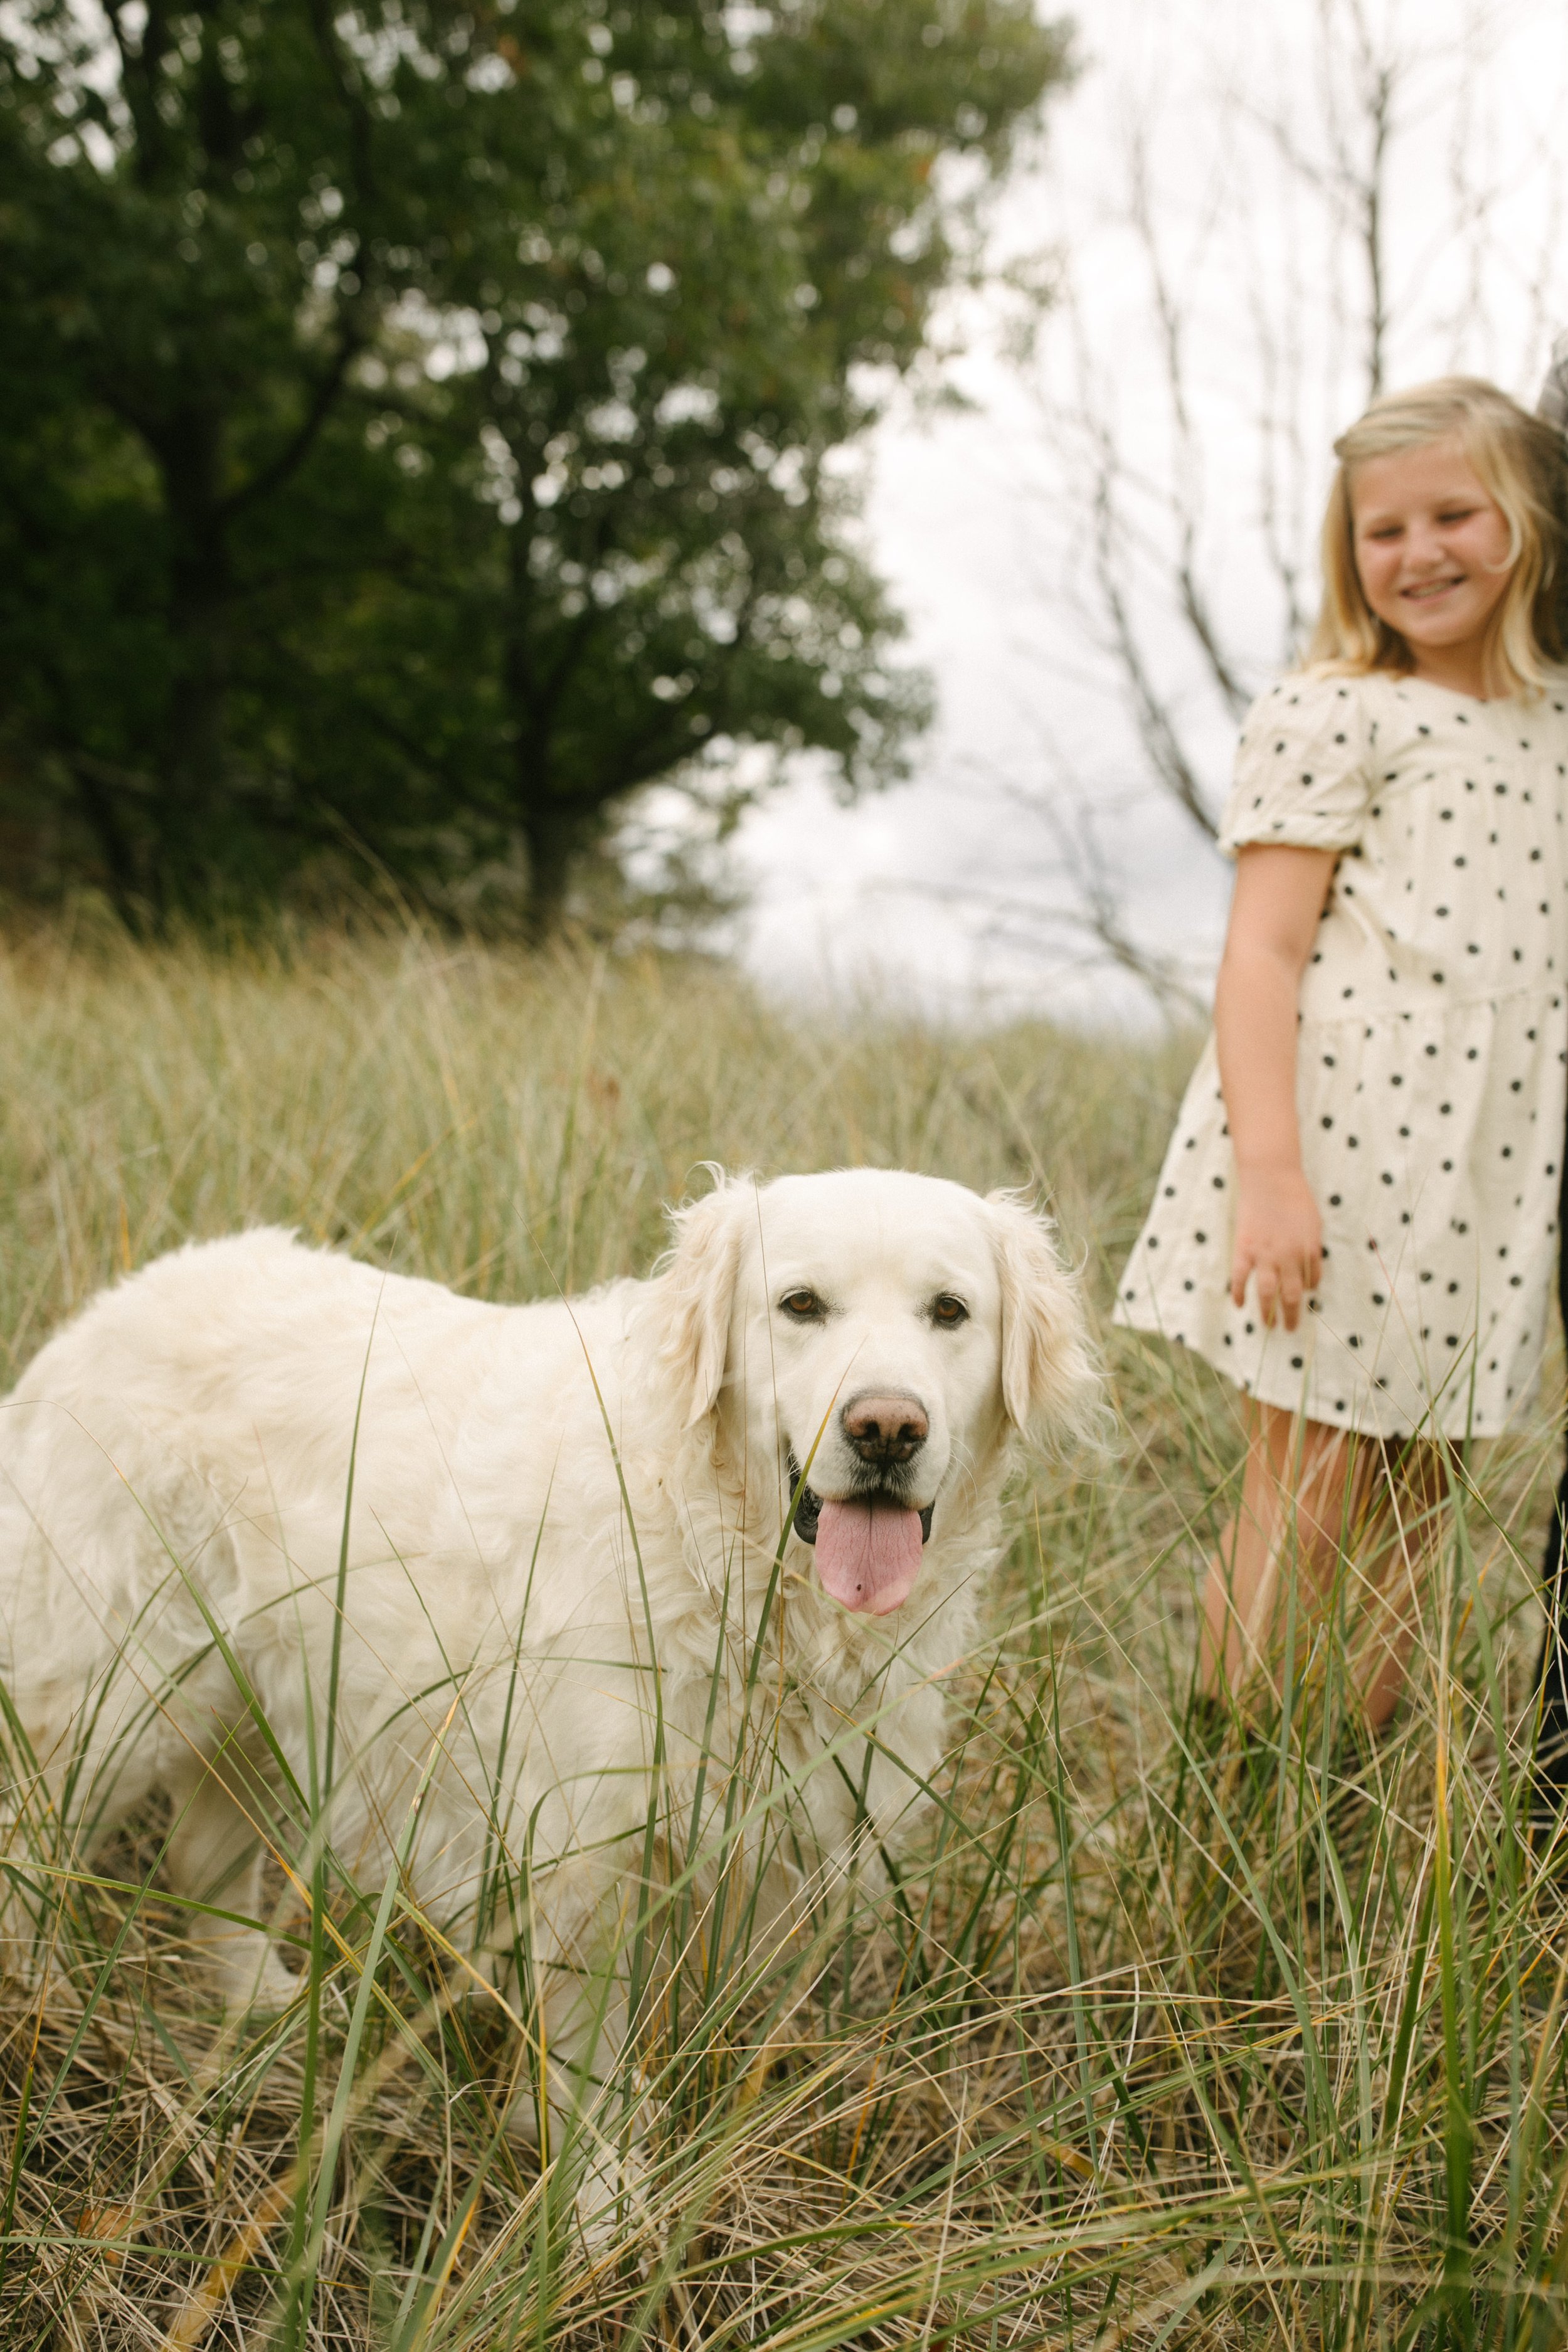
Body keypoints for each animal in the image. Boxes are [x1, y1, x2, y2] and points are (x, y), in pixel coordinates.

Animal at [0, 1167, 1100, 2192]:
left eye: (949, 1311)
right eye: (800, 1304)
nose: (886, 1428)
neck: (722, 1554)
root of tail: (105, 1309)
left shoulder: (783, 1853)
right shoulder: (587, 1859)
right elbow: (593, 2075)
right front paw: (603, 2205)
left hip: (262, 1699)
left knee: (202, 1860)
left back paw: (261, 2011)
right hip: (114, 1699)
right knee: (34, 1843)